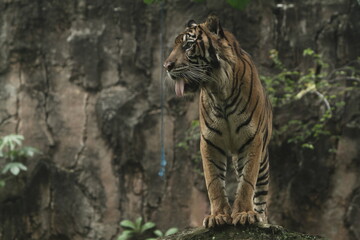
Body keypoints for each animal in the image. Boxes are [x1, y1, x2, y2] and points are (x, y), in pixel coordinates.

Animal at [162, 15, 272, 229]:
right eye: (175, 46)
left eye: (188, 45)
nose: (167, 66)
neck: (219, 90)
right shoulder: (210, 140)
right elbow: (213, 181)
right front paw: (218, 216)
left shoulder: (252, 139)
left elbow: (247, 181)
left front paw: (244, 214)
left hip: (263, 160)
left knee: (261, 193)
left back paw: (261, 219)